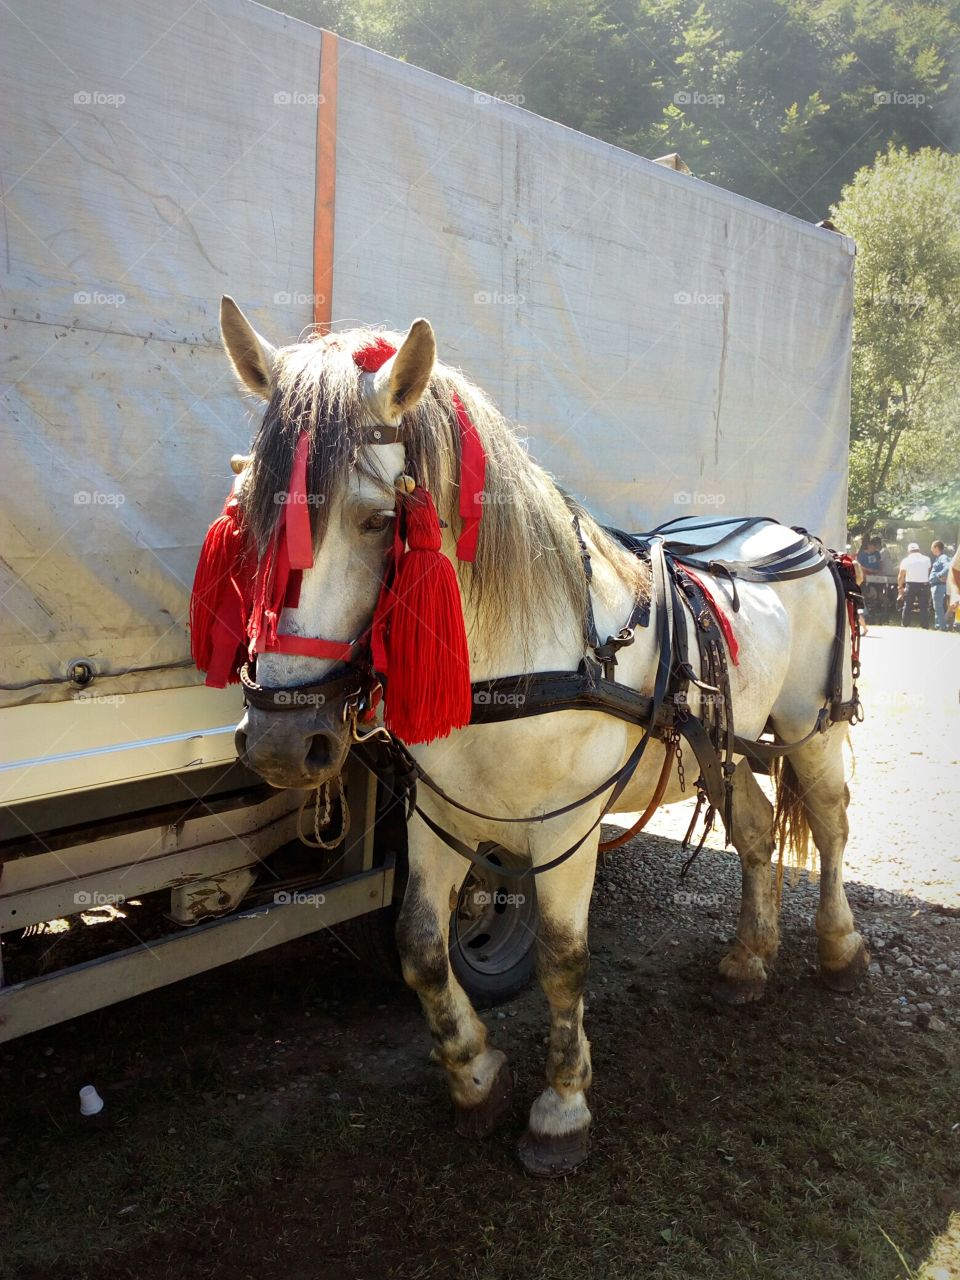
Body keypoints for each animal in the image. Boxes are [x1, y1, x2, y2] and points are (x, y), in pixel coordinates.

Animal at [206, 297, 867, 1176]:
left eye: (379, 520)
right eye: (248, 512)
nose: (283, 742)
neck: (510, 660)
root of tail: (795, 538)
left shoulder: (566, 827)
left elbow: (561, 956)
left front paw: (561, 1106)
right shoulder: (437, 816)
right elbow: (421, 945)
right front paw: (473, 1072)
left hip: (807, 729)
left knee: (829, 824)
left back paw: (839, 946)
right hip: (717, 749)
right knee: (759, 834)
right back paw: (748, 961)